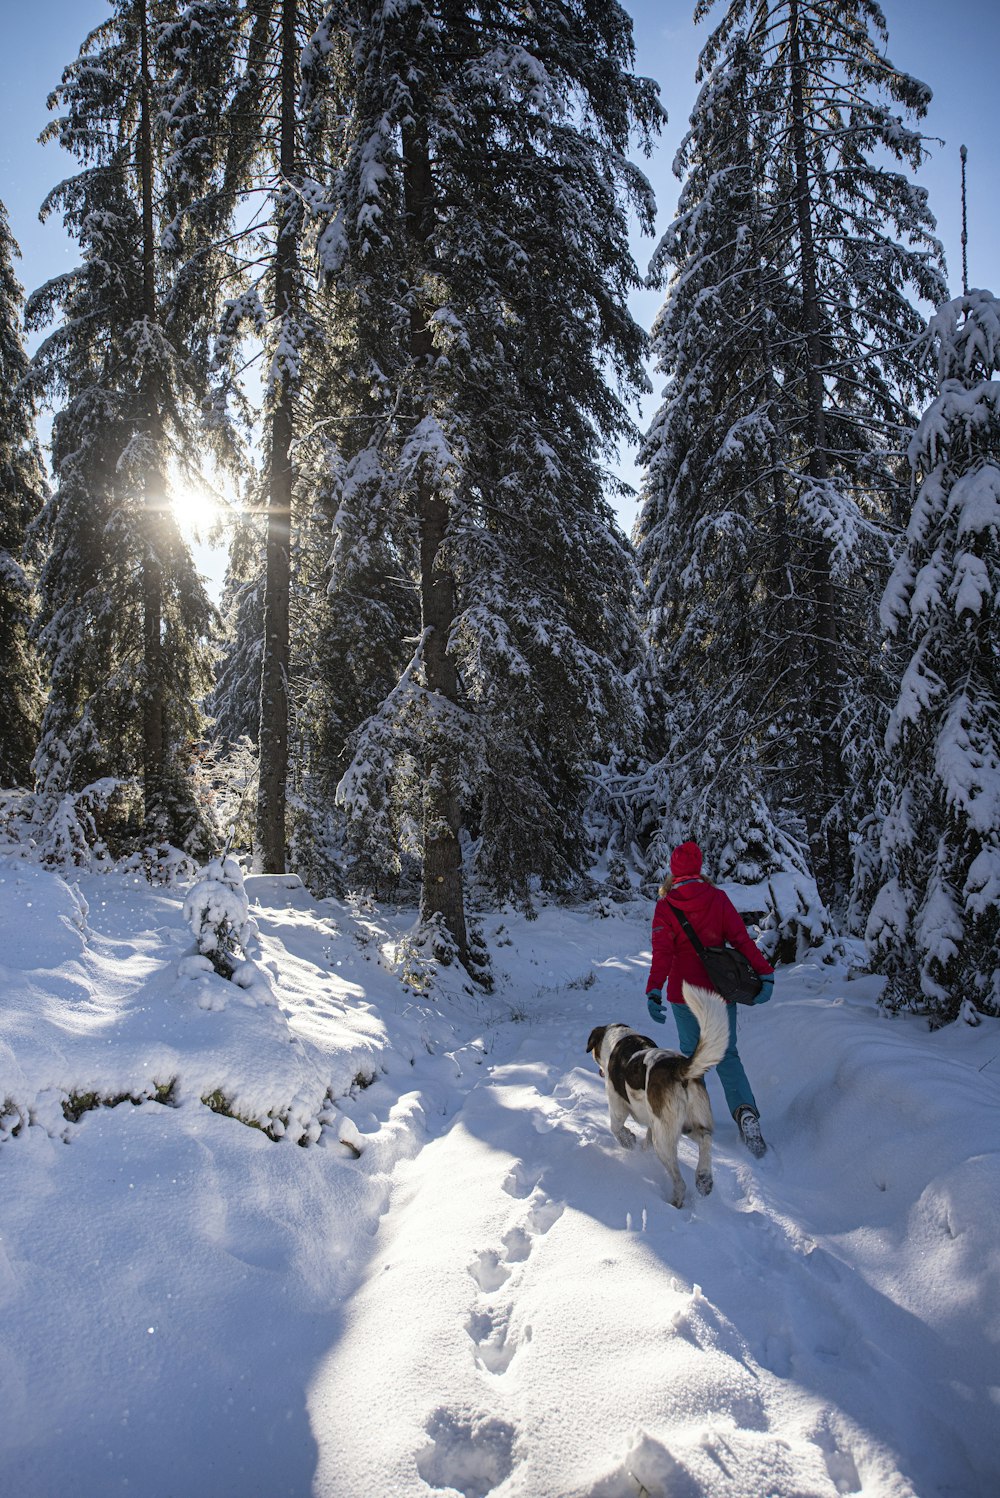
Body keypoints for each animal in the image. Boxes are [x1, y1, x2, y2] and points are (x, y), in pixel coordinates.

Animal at [586, 988, 727, 1210]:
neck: (620, 1038)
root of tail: (679, 1068)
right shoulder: (654, 1124)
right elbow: (645, 1141)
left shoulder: (617, 1104)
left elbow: (616, 1128)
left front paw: (628, 1140)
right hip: (687, 1125)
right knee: (706, 1138)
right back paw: (703, 1179)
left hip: (665, 1140)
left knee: (680, 1181)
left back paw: (675, 1201)